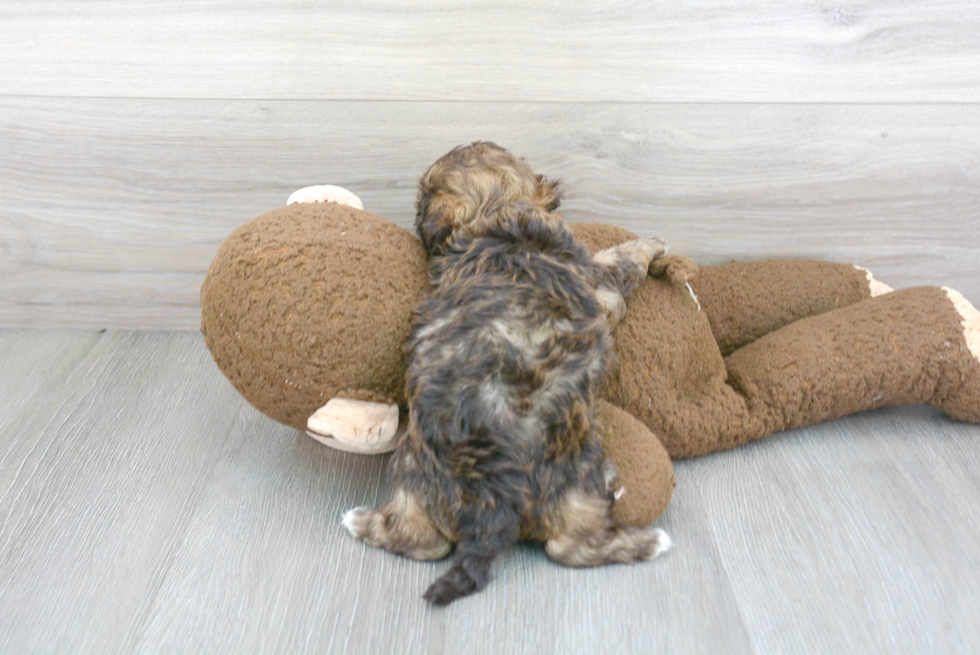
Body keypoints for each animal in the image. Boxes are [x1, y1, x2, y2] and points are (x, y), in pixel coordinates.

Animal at [340, 142, 668, 604]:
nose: (417, 218)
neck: (493, 213)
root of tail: (492, 500)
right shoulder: (597, 282)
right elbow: (619, 260)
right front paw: (652, 244)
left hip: (413, 473)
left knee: (423, 541)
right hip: (575, 470)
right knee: (573, 547)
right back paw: (650, 540)